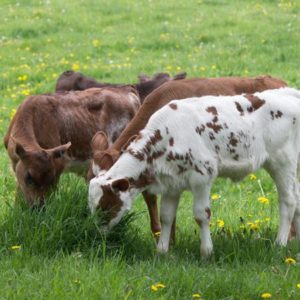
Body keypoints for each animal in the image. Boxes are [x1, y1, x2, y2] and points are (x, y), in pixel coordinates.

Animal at [3, 85, 139, 205]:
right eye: (29, 177)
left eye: (52, 178)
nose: (39, 207)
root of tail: (125, 89)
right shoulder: (16, 165)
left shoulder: (58, 163)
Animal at [89, 86, 300, 258]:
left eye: (105, 206)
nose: (96, 234)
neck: (165, 137)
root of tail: (290, 93)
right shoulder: (171, 182)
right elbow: (166, 216)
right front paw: (162, 251)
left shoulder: (202, 176)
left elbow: (201, 214)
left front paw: (206, 252)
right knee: (297, 198)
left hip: (282, 161)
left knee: (288, 200)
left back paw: (280, 244)